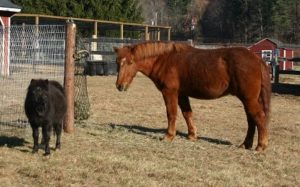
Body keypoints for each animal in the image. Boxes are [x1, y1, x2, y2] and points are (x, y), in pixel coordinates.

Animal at [113, 41, 272, 150]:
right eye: (117, 62)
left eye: (130, 62)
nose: (120, 86)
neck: (165, 59)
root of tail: (256, 58)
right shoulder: (182, 94)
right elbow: (187, 114)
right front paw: (192, 135)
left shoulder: (169, 92)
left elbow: (171, 114)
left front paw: (169, 136)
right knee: (251, 120)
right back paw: (246, 144)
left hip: (249, 99)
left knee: (259, 117)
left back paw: (261, 146)